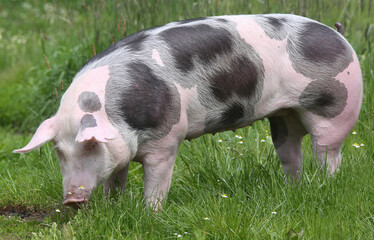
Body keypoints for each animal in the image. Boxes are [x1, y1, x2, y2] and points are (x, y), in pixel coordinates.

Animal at [13, 14, 362, 208]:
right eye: (59, 151)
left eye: (90, 145)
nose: (72, 199)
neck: (117, 112)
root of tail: (339, 34)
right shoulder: (120, 151)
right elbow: (115, 179)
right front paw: (112, 209)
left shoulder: (167, 139)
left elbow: (157, 181)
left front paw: (150, 213)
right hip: (284, 117)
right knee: (291, 153)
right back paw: (294, 190)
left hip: (337, 107)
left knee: (328, 153)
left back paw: (325, 186)